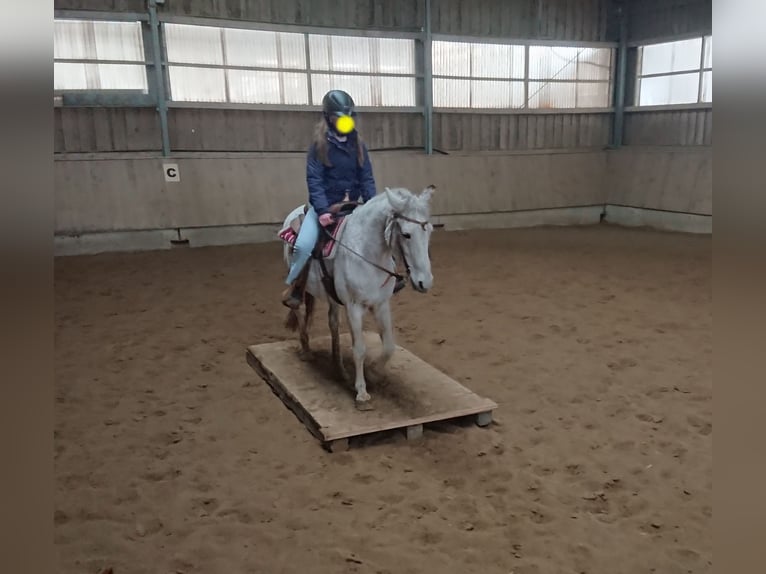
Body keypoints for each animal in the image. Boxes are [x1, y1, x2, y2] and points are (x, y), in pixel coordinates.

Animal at [281, 186, 435, 409]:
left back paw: (339, 369)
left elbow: (389, 346)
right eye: (406, 234)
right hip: (298, 279)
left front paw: (373, 374)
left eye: (429, 231)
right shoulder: (354, 307)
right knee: (298, 308)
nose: (425, 282)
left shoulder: (381, 305)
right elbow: (359, 349)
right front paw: (362, 392)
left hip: (332, 297)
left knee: (332, 323)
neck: (366, 253)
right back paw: (306, 350)